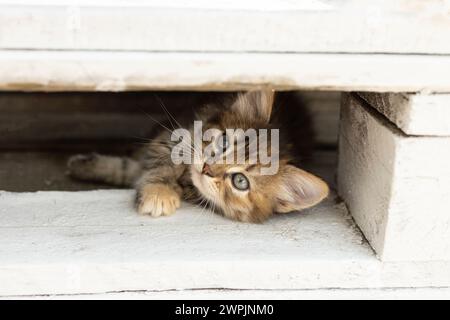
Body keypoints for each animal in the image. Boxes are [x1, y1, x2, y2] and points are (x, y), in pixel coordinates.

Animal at [69, 90, 330, 222]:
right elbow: (152, 165)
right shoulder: (174, 136)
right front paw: (158, 191)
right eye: (224, 141)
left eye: (240, 181)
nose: (207, 168)